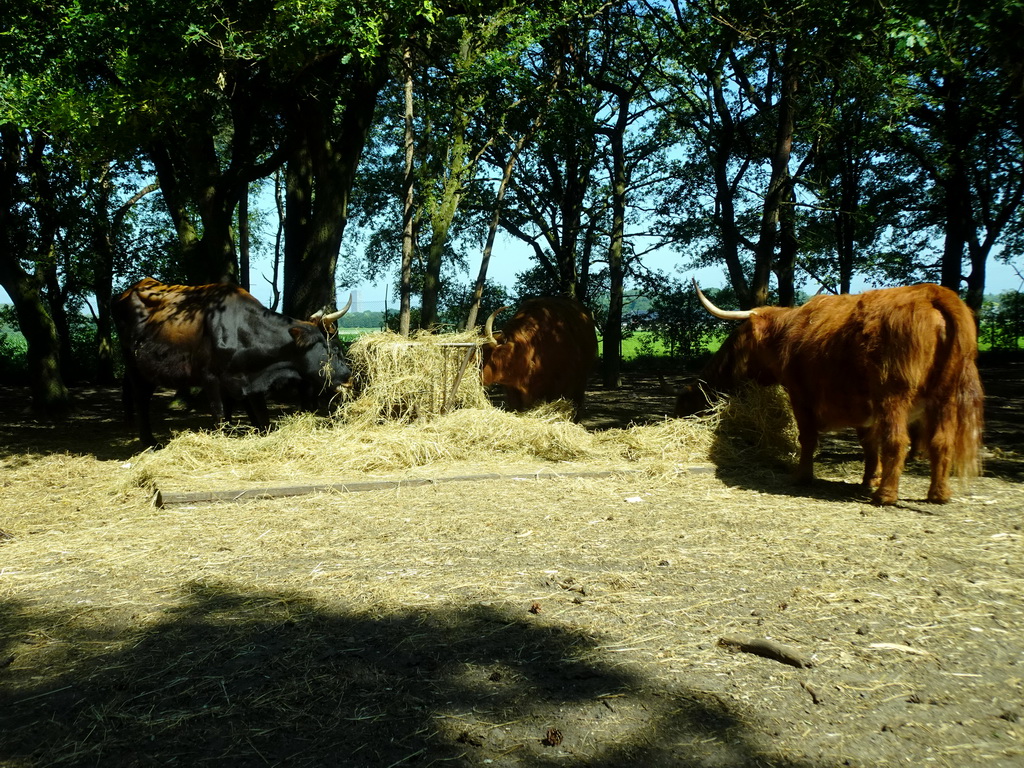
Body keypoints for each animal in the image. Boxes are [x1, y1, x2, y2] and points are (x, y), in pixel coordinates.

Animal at [113, 278, 352, 448]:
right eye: (334, 350)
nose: (349, 375)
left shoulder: (248, 381)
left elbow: (261, 416)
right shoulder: (210, 378)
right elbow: (220, 414)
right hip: (135, 367)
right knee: (141, 399)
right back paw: (149, 442)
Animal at [675, 280, 978, 505]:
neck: (787, 334)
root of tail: (931, 294)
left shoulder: (801, 394)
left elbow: (808, 437)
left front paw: (801, 476)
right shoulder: (863, 406)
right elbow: (869, 443)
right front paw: (869, 478)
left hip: (894, 394)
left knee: (897, 440)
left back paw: (886, 496)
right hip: (946, 397)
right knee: (941, 440)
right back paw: (939, 494)